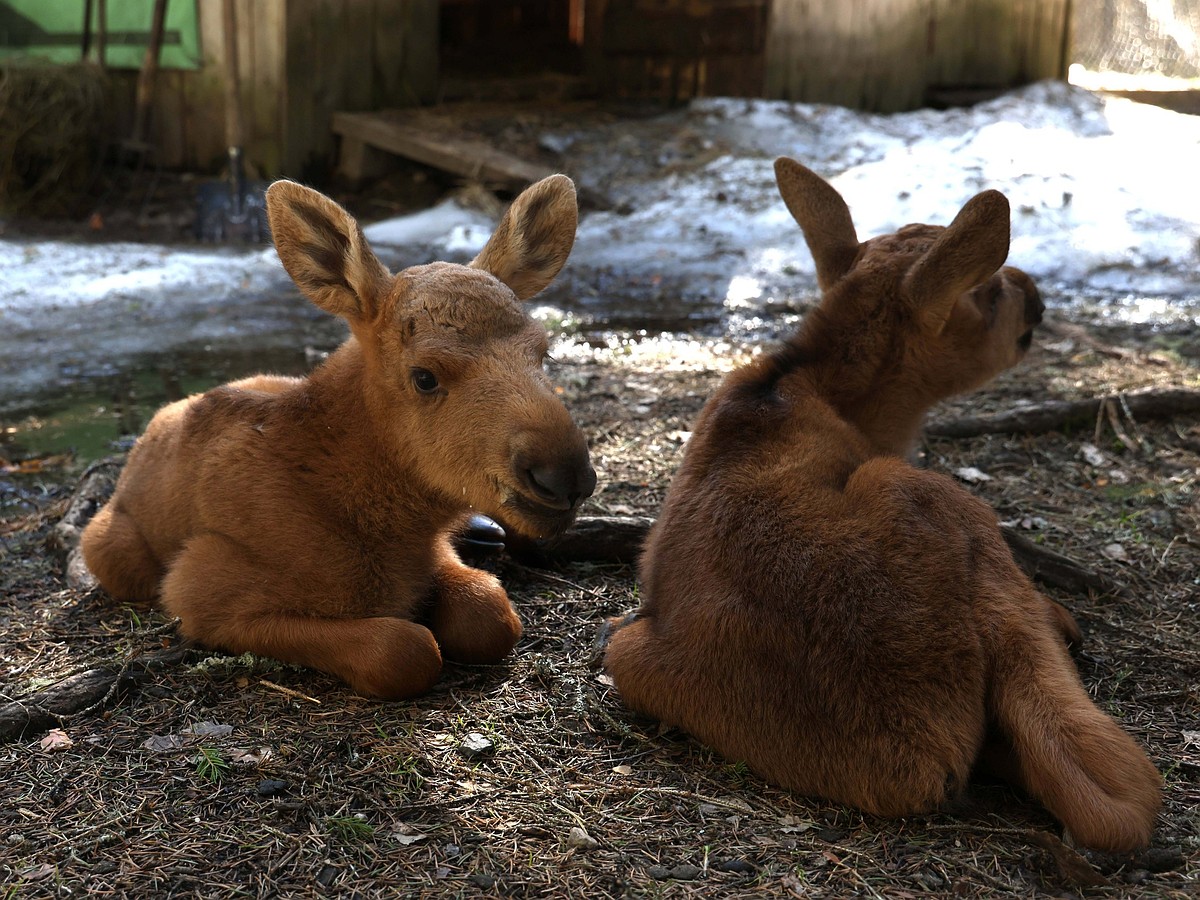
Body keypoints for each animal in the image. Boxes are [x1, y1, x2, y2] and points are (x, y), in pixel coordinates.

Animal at [79, 174, 595, 696]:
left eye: (543, 353)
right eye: (424, 377)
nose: (563, 477)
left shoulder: (435, 554)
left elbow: (492, 616)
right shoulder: (197, 589)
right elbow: (404, 650)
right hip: (111, 551)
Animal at [609, 158, 1161, 854]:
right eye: (989, 292)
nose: (1036, 292)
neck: (837, 393)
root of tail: (914, 759)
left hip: (625, 652)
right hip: (933, 495)